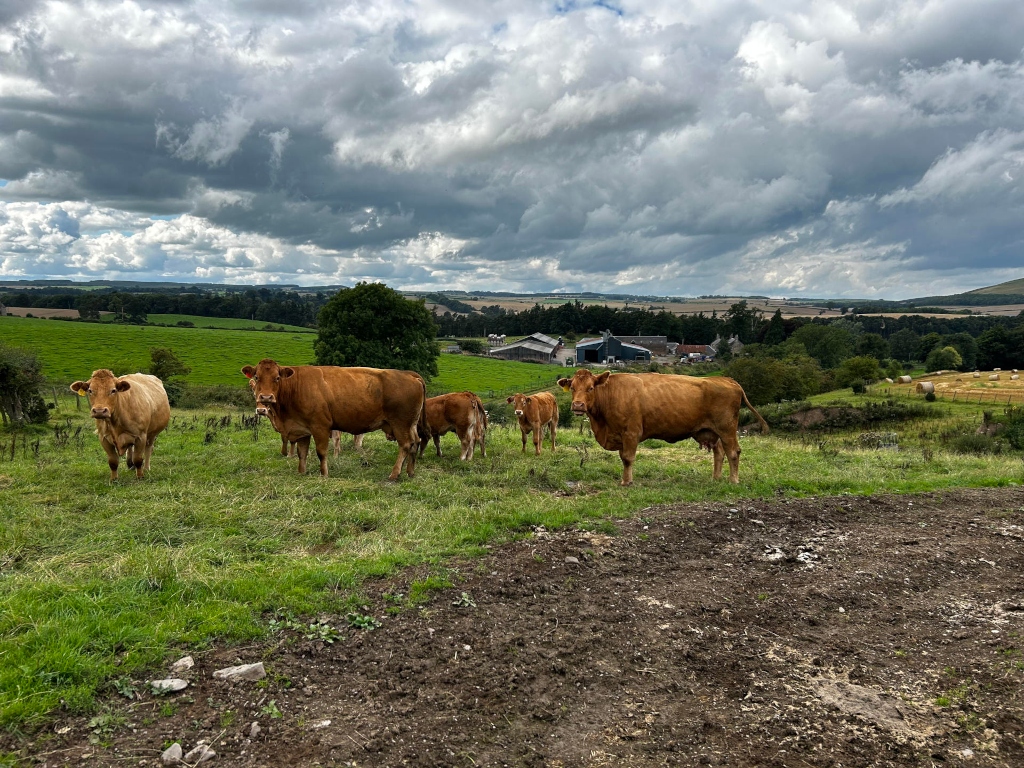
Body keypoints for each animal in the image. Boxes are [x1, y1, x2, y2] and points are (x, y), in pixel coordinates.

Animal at [242, 360, 425, 479]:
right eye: (257, 377)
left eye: (277, 378)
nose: (266, 397)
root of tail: (408, 374)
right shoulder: (302, 429)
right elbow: (302, 453)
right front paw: (301, 472)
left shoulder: (320, 426)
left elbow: (321, 452)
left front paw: (324, 474)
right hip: (411, 424)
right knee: (415, 442)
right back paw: (410, 472)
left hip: (400, 423)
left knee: (406, 445)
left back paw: (394, 474)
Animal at [557, 369, 768, 486]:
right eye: (573, 388)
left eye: (591, 388)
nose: (577, 405)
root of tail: (727, 380)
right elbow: (624, 457)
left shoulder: (631, 433)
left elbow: (627, 458)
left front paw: (626, 481)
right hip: (712, 432)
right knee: (719, 453)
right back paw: (715, 478)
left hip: (727, 430)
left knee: (733, 452)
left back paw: (733, 480)